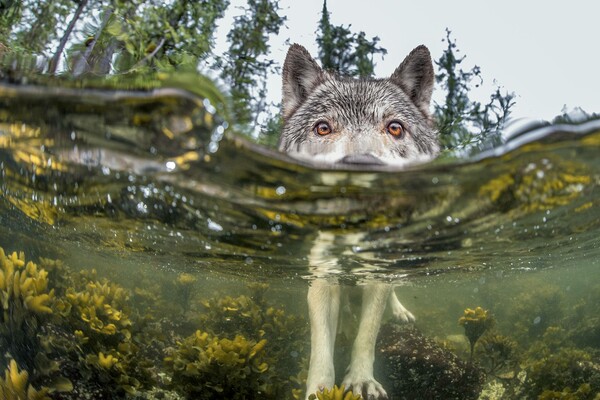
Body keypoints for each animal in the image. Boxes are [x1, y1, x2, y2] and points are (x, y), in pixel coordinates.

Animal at [278, 44, 438, 400]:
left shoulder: (376, 275)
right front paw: (320, 389)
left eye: (395, 128)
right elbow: (321, 346)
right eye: (323, 128)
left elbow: (367, 335)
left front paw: (362, 381)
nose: (362, 166)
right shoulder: (322, 277)